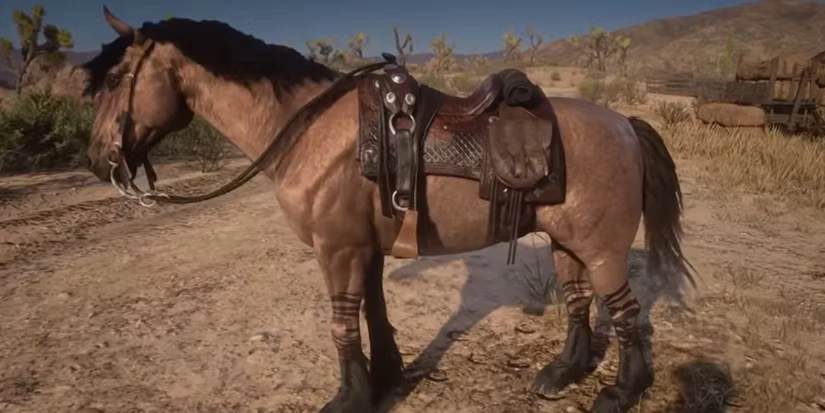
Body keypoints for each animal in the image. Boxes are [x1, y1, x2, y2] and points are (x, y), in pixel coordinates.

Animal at [81, 7, 694, 413]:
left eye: (113, 78)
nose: (95, 159)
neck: (313, 130)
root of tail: (623, 123)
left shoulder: (338, 249)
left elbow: (341, 323)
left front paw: (350, 397)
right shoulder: (365, 248)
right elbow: (372, 313)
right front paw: (386, 379)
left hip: (603, 248)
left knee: (626, 314)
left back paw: (621, 390)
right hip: (569, 243)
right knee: (579, 302)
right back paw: (563, 371)